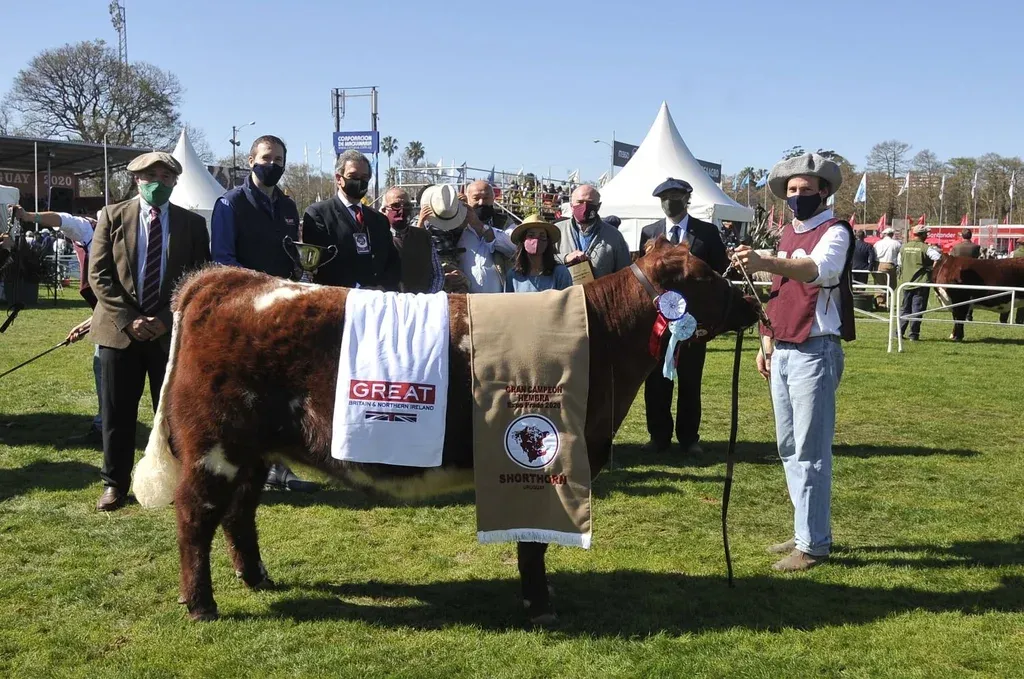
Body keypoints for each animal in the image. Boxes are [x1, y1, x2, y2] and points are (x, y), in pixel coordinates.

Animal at [133, 237, 760, 624]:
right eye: (707, 276)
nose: (753, 303)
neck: (599, 337)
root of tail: (229, 280)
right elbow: (533, 543)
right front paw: (540, 604)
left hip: (254, 451)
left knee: (240, 513)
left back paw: (257, 578)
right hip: (216, 446)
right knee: (196, 516)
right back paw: (202, 604)